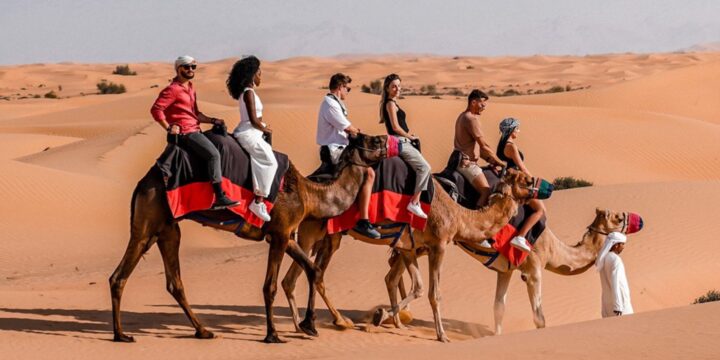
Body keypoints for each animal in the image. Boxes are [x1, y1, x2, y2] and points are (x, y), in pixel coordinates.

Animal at [107, 133, 390, 344]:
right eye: (372, 140)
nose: (388, 140)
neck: (309, 195)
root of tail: (143, 182)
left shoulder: (285, 235)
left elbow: (313, 270)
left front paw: (311, 325)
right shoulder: (279, 234)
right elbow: (270, 286)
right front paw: (273, 335)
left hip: (167, 229)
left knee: (172, 282)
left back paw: (203, 331)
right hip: (148, 222)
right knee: (120, 276)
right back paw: (121, 335)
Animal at [278, 170, 536, 342]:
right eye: (525, 179)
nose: (537, 186)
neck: (458, 215)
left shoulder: (410, 247)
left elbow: (418, 287)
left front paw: (383, 316)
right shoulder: (439, 245)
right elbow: (434, 293)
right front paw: (442, 335)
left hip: (322, 236)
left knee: (296, 278)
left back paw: (304, 326)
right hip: (318, 233)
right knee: (311, 275)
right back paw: (333, 322)